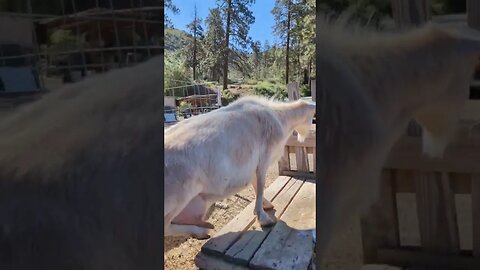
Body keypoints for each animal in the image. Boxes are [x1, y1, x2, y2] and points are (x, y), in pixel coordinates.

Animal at [164, 96, 316, 238]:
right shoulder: (264, 159)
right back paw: (201, 231)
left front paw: (266, 205)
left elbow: (256, 184)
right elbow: (261, 185)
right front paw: (264, 218)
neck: (279, 118)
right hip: (178, 196)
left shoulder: (255, 166)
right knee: (166, 227)